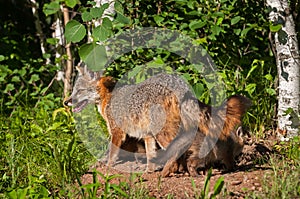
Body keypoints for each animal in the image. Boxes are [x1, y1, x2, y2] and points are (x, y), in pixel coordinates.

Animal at [64, 64, 199, 172]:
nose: (65, 102)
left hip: (162, 133)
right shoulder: (147, 135)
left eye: (79, 91)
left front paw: (108, 168)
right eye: (73, 91)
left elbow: (112, 154)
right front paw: (149, 172)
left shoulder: (117, 132)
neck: (108, 97)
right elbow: (151, 155)